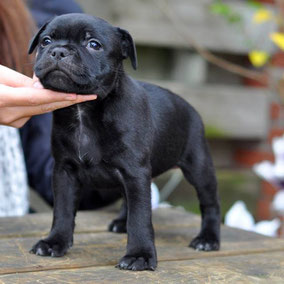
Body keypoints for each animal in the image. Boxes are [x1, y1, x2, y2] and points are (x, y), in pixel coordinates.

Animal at [28, 13, 220, 270]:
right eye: (46, 41)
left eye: (94, 45)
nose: (58, 51)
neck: (83, 110)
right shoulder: (64, 172)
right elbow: (63, 210)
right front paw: (54, 242)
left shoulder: (134, 172)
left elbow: (141, 217)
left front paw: (140, 255)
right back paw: (121, 222)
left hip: (198, 167)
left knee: (210, 203)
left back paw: (208, 238)